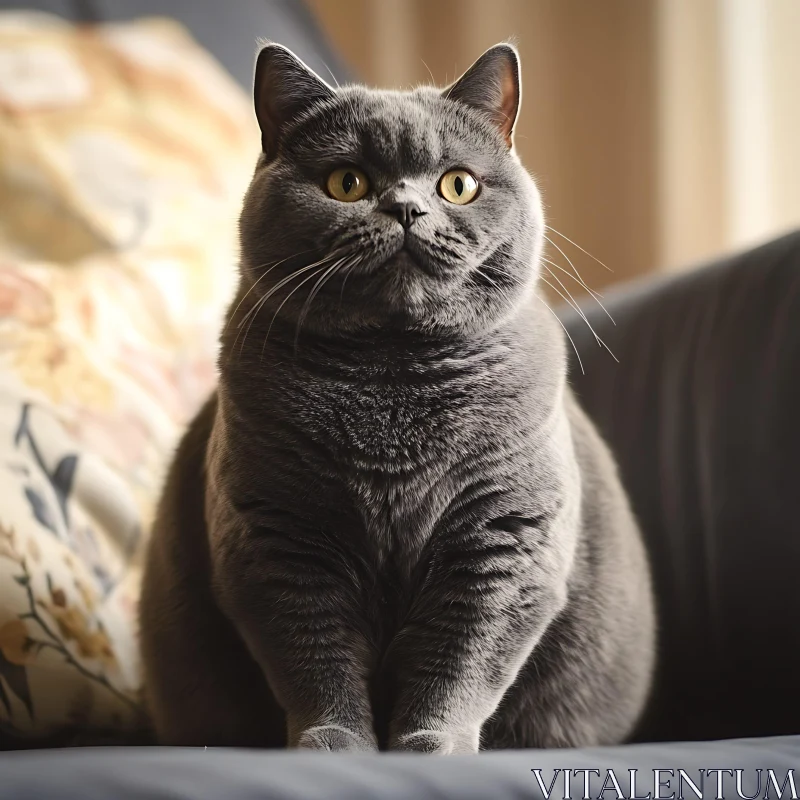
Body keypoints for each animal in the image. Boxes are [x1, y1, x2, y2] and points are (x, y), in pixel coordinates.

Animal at [141, 42, 656, 756]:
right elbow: (315, 659)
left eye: (457, 184)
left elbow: (458, 660)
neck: (393, 380)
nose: (407, 209)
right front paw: (334, 742)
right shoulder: (278, 540)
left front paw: (429, 745)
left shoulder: (504, 539)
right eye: (347, 183)